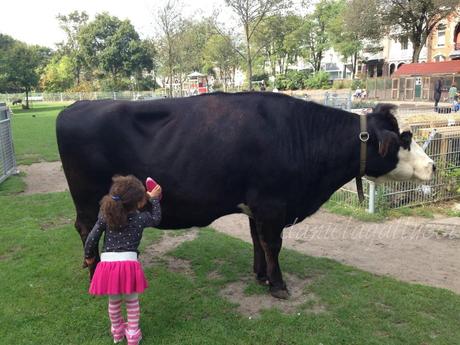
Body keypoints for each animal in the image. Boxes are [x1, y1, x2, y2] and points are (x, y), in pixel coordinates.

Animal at [55, 92, 434, 298]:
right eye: (403, 140)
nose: (432, 166)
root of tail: (76, 106)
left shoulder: (257, 206)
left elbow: (257, 241)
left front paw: (261, 275)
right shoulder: (273, 203)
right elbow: (273, 244)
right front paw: (278, 284)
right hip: (88, 199)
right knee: (86, 229)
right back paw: (93, 274)